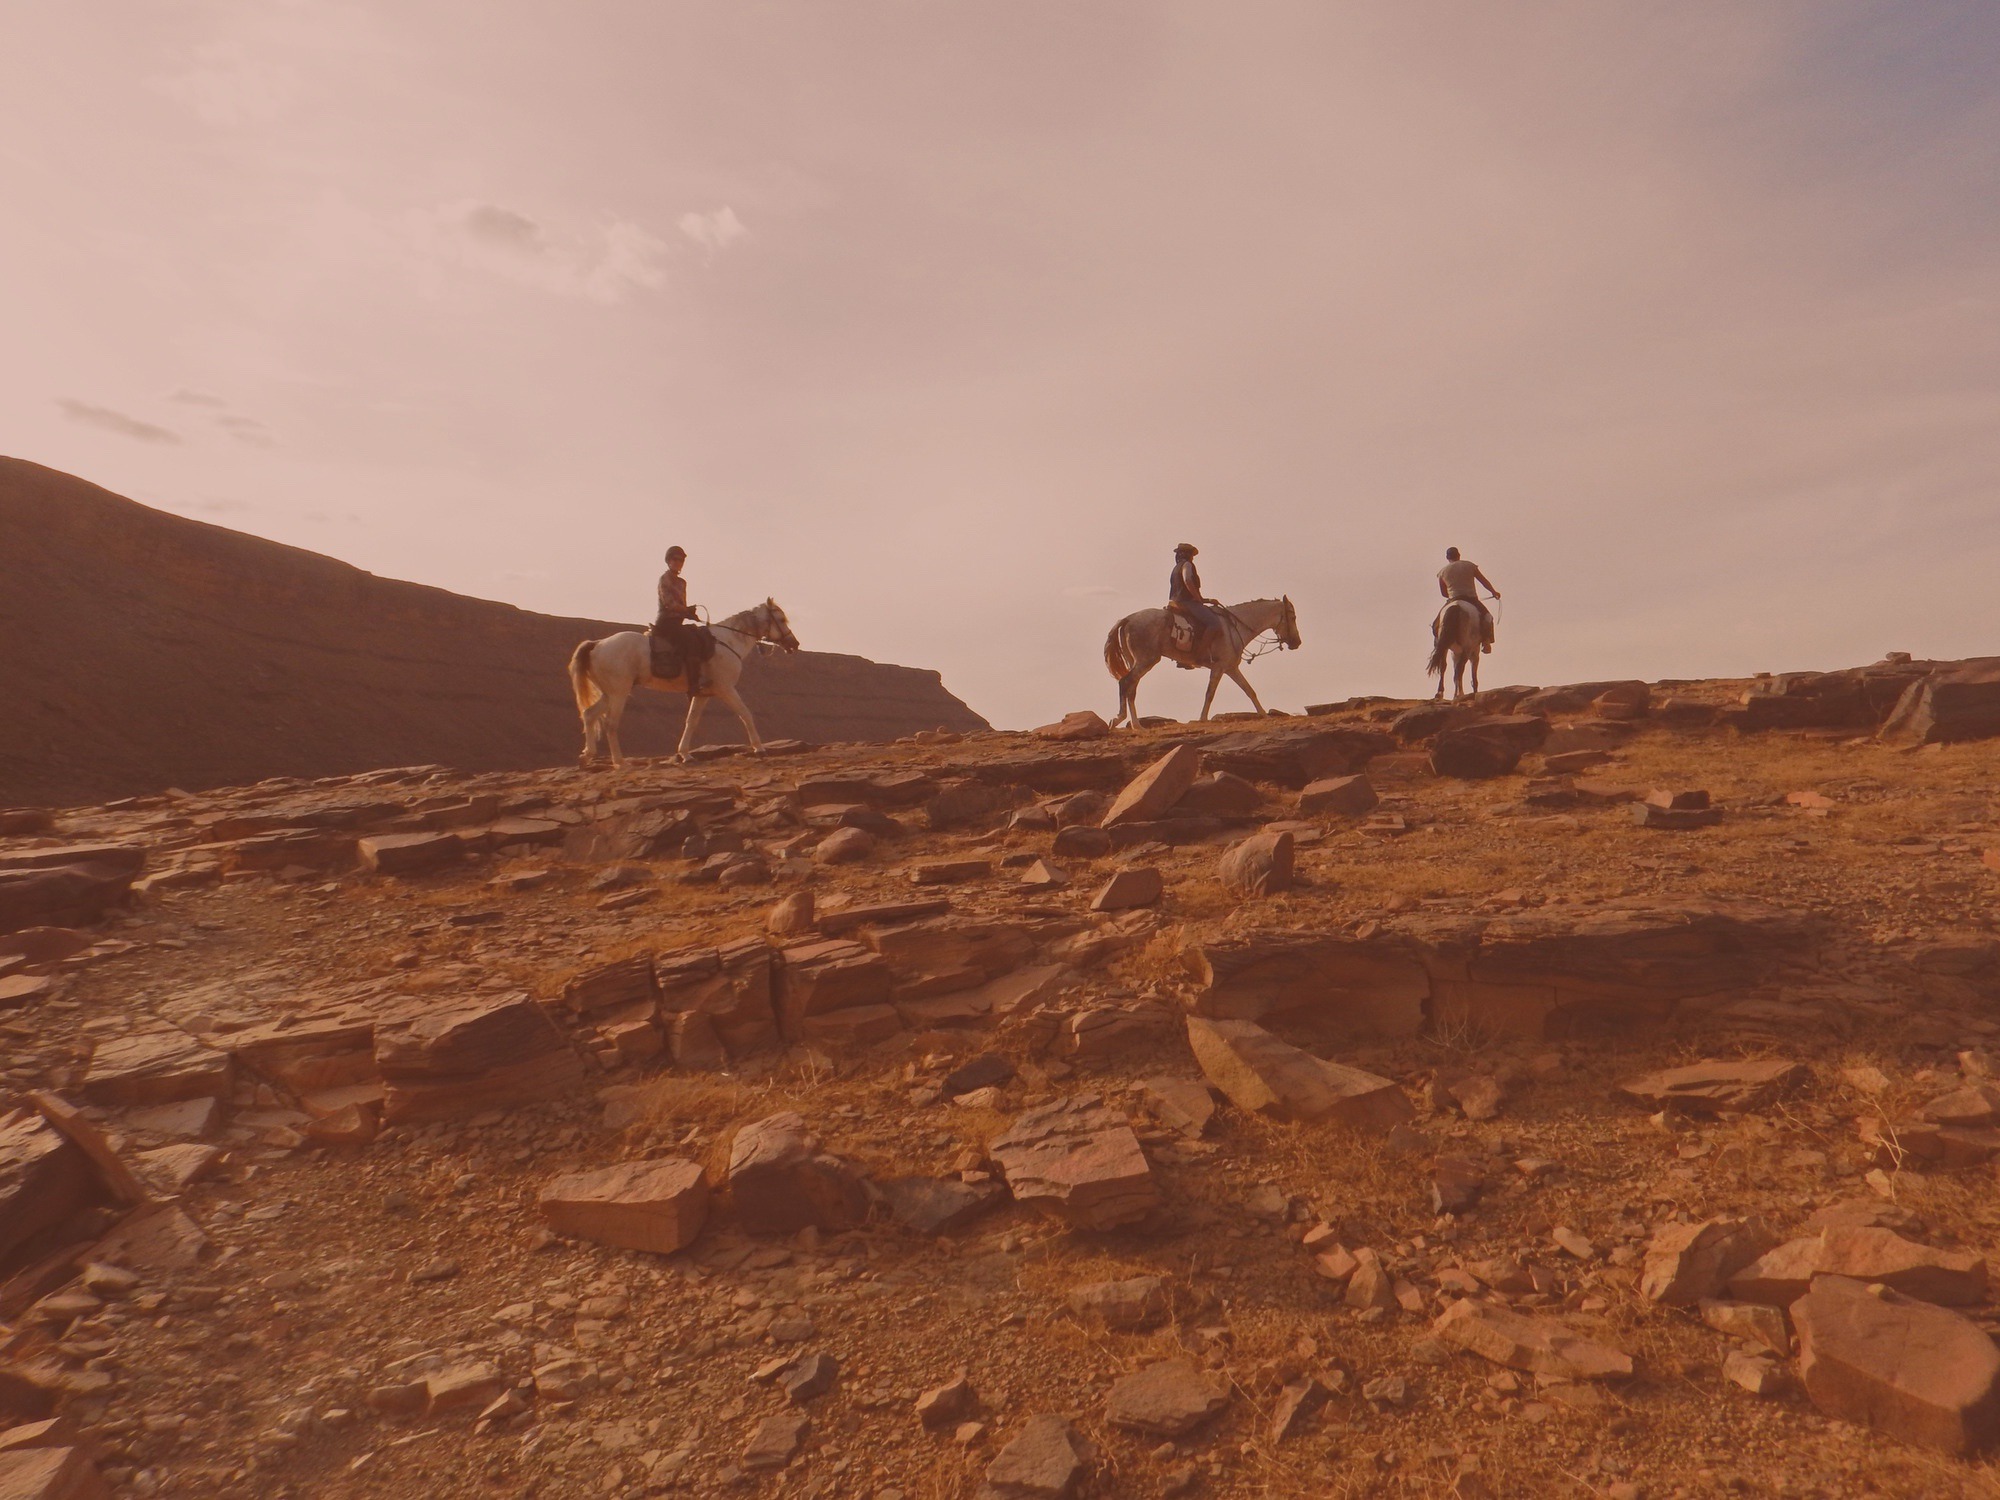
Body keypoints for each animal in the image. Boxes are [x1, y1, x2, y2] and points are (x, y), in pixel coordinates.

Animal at [568, 600, 800, 768]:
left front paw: (685, 755)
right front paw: (759, 749)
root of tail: (597, 645)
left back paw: (587, 755)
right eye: (780, 618)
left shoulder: (702, 694)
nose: (794, 644)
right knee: (610, 723)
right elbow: (746, 714)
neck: (728, 641)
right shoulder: (726, 689)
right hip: (619, 693)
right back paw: (620, 762)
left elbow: (691, 722)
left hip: (610, 693)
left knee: (589, 714)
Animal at [1104, 596, 1304, 732]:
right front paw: (1202, 718)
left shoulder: (1231, 668)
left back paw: (1137, 725)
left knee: (1131, 689)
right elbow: (1210, 694)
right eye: (1292, 616)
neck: (1235, 627)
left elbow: (1249, 690)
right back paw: (1119, 719)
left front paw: (1263, 714)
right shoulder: (1219, 668)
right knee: (1125, 683)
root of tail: (1129, 618)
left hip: (1137, 661)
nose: (1297, 642)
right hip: (1146, 660)